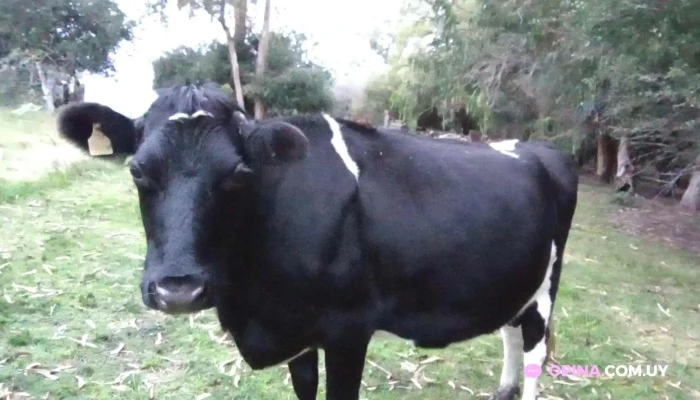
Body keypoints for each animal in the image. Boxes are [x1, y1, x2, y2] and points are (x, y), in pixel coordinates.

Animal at [56, 83, 580, 400]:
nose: (178, 289)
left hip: (547, 286)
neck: (255, 307)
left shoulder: (349, 330)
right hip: (517, 278)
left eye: (239, 173)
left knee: (534, 350)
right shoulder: (296, 332)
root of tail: (536, 147)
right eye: (137, 170)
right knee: (511, 331)